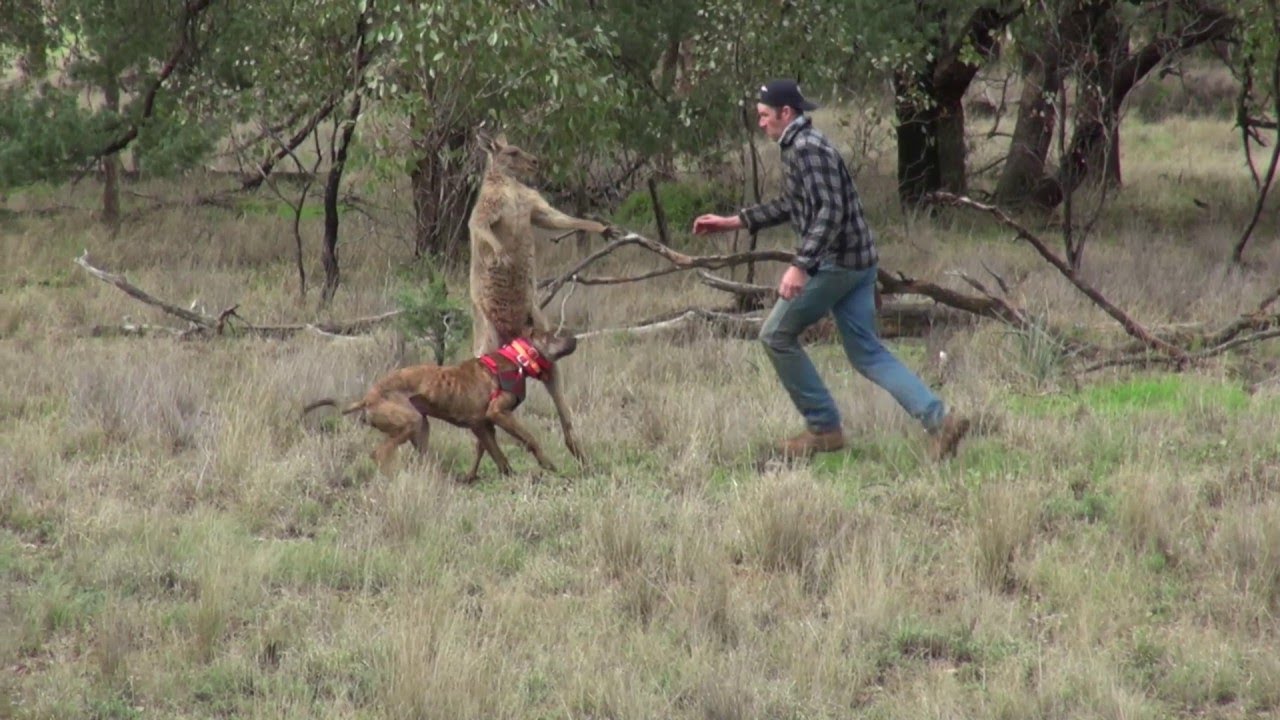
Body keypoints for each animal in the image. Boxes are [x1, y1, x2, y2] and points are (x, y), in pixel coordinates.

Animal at [302, 330, 578, 481]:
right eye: (553, 335)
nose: (574, 337)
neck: (517, 359)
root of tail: (368, 397)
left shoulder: (482, 425)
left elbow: (494, 454)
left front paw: (499, 475)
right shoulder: (499, 414)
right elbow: (529, 438)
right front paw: (548, 464)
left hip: (421, 428)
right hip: (410, 421)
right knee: (379, 453)